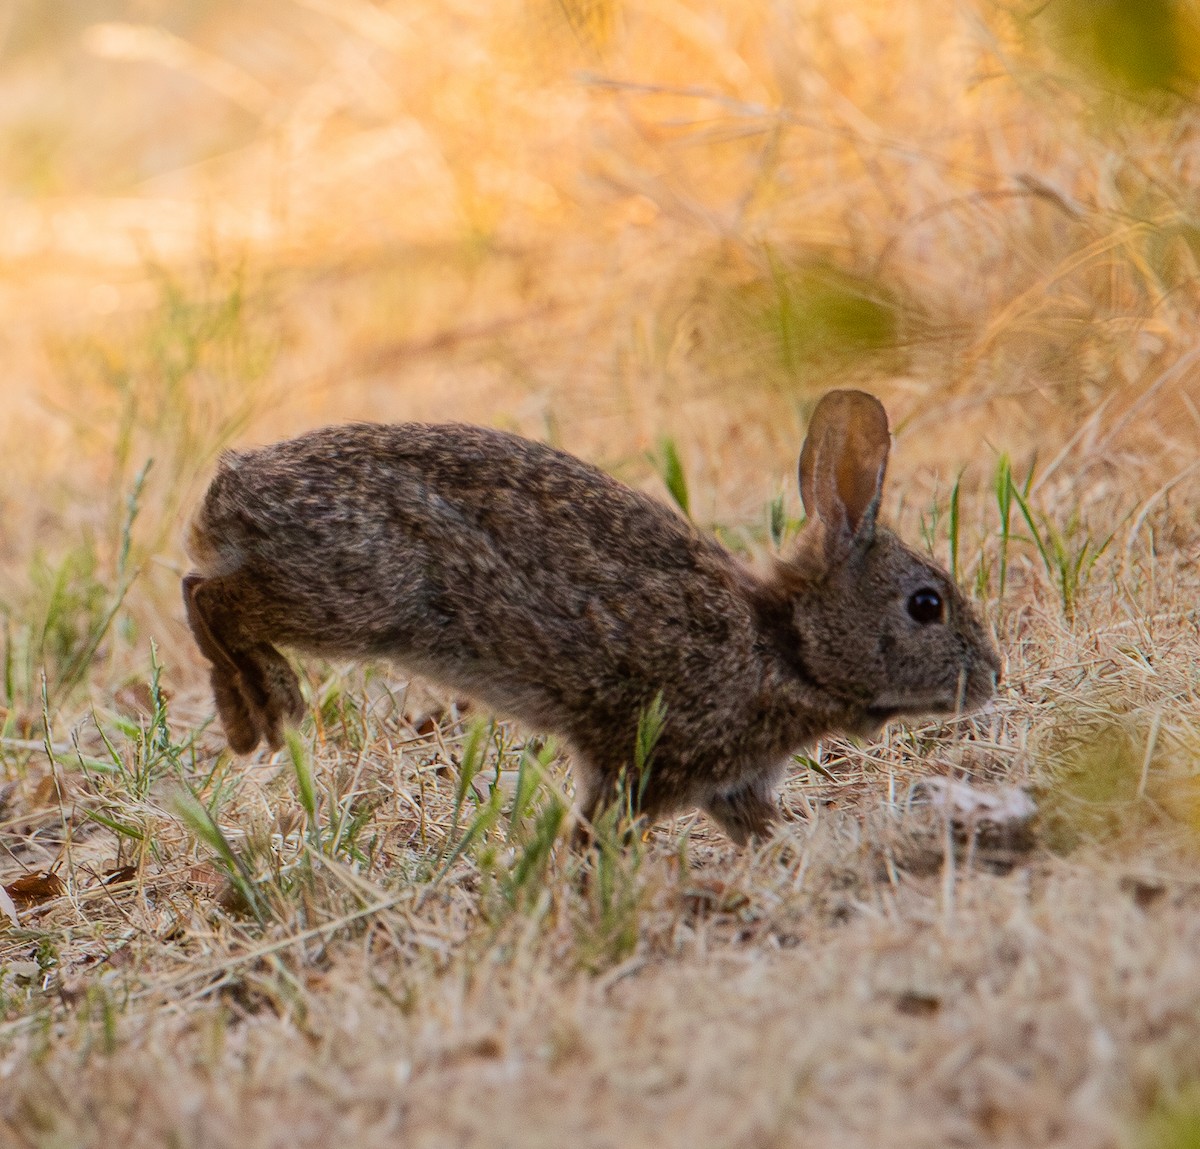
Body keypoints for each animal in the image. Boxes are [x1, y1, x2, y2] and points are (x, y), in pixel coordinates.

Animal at [182, 389, 1000, 845]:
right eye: (926, 605)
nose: (992, 677)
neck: (786, 647)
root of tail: (230, 491)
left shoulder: (729, 788)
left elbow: (767, 835)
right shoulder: (649, 764)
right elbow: (599, 831)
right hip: (360, 595)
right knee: (211, 596)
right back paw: (267, 705)